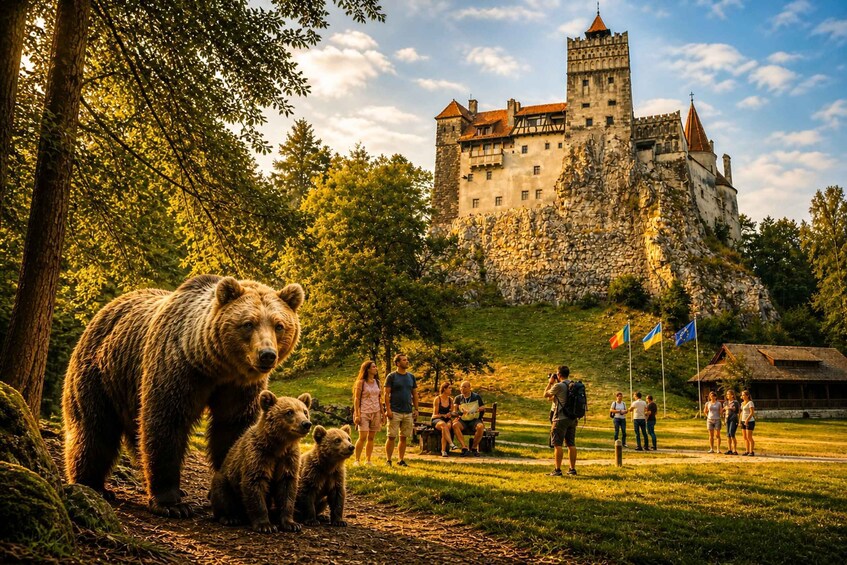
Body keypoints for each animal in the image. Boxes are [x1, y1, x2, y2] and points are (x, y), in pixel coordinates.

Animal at [62, 274, 304, 518]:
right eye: (248, 323)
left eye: (279, 325)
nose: (267, 355)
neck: (217, 367)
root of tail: (105, 310)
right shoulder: (178, 368)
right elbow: (166, 423)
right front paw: (172, 503)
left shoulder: (240, 388)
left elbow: (233, 428)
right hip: (100, 374)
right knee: (94, 430)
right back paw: (92, 485)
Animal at [210, 391, 312, 533]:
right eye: (289, 412)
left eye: (305, 411)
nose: (306, 424)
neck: (278, 446)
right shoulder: (259, 455)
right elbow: (255, 483)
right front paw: (265, 525)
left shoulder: (288, 459)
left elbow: (287, 488)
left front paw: (291, 524)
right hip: (226, 478)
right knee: (221, 489)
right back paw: (230, 518)